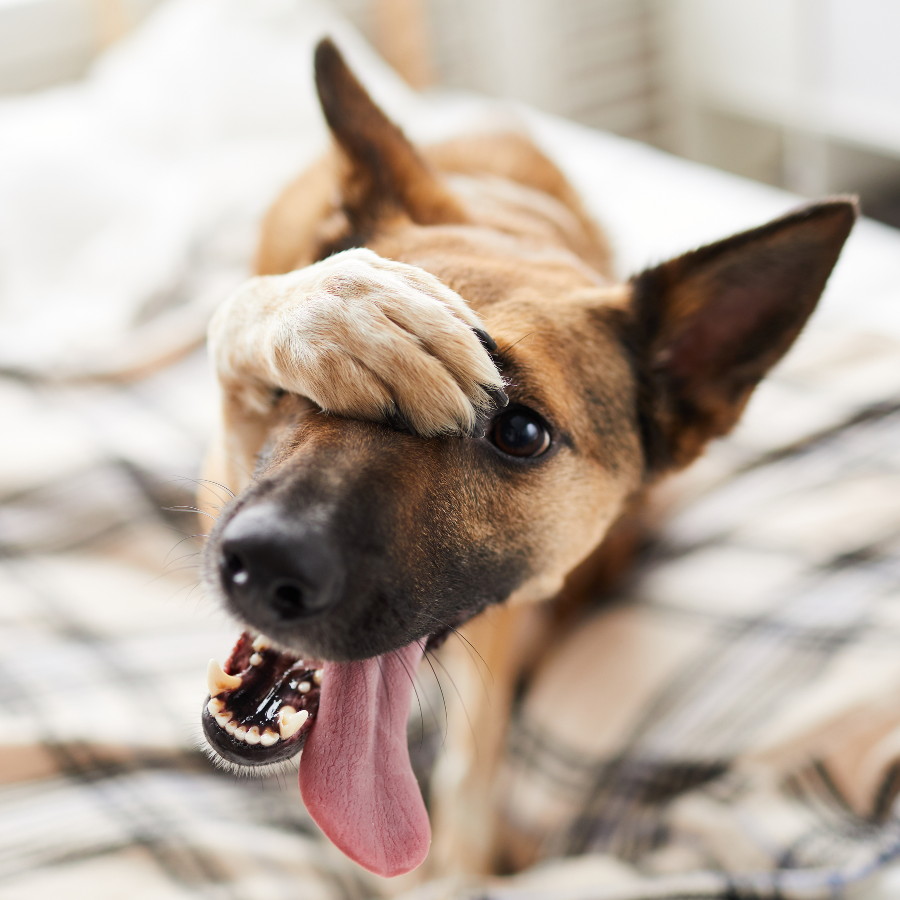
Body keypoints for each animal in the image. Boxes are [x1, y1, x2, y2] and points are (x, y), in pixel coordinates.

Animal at [199, 40, 856, 880]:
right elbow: (252, 316)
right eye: (312, 386)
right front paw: (338, 309)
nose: (264, 563)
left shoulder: (503, 626)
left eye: (521, 433)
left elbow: (473, 764)